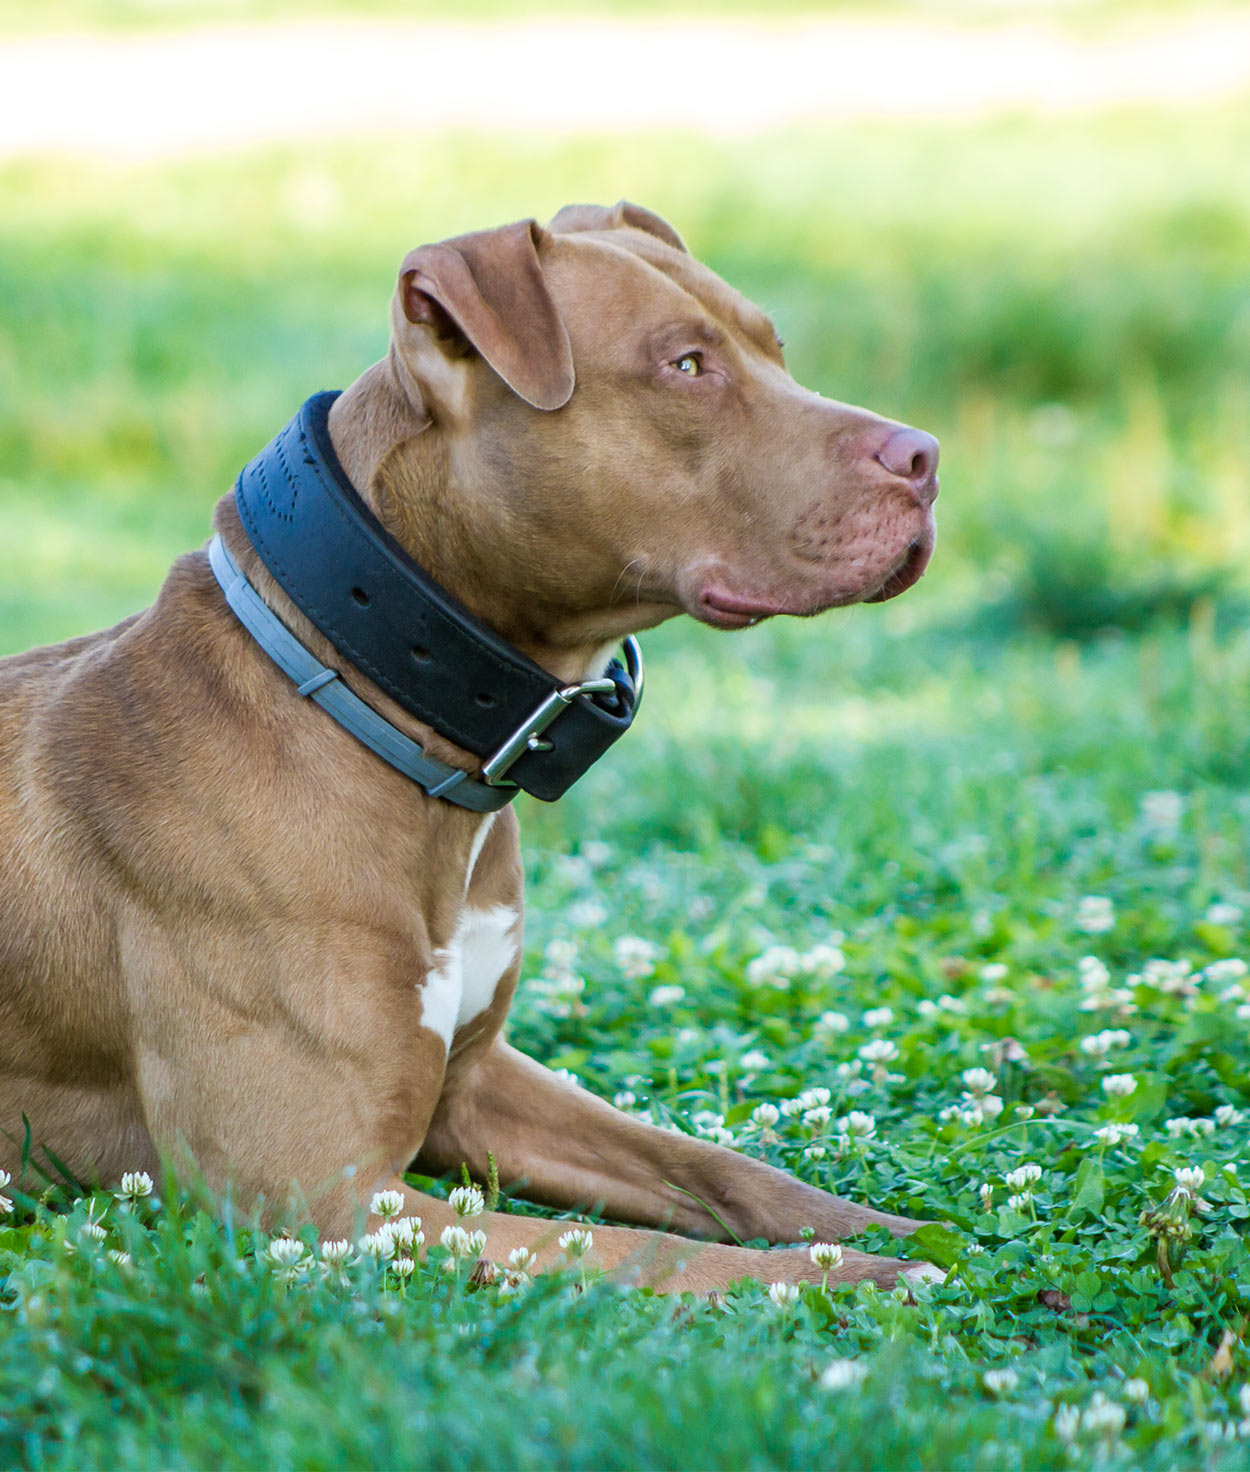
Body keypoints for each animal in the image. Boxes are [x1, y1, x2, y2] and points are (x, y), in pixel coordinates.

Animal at [0, 198, 936, 1289]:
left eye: (773, 348)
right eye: (686, 365)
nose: (924, 459)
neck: (384, 713)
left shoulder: (477, 1087)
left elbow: (724, 1170)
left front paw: (897, 1234)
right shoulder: (318, 1199)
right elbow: (649, 1254)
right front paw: (861, 1279)